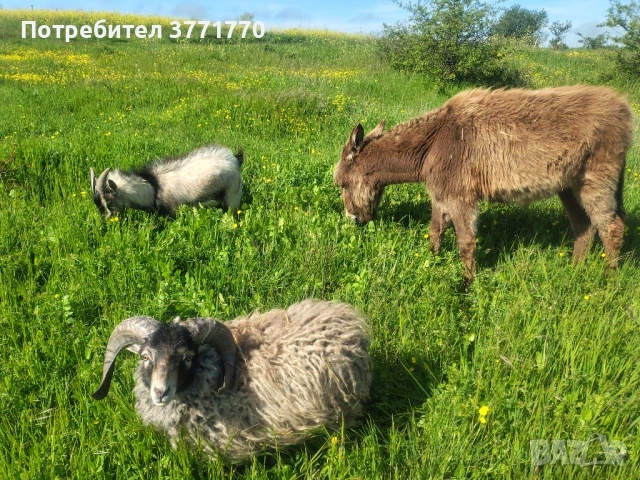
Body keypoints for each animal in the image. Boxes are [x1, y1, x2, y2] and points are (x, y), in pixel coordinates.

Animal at [90, 145, 244, 217]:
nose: (107, 220)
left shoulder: (173, 211)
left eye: (109, 202)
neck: (153, 186)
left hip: (233, 193)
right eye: (97, 205)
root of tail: (234, 159)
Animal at [334, 86, 633, 281]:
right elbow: (435, 232)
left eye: (342, 184)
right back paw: (574, 270)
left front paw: (468, 284)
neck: (433, 143)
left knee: (612, 228)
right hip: (569, 186)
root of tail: (625, 110)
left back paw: (608, 280)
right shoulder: (441, 196)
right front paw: (433, 263)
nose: (353, 219)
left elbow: (466, 242)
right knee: (584, 227)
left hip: (595, 178)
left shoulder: (460, 197)